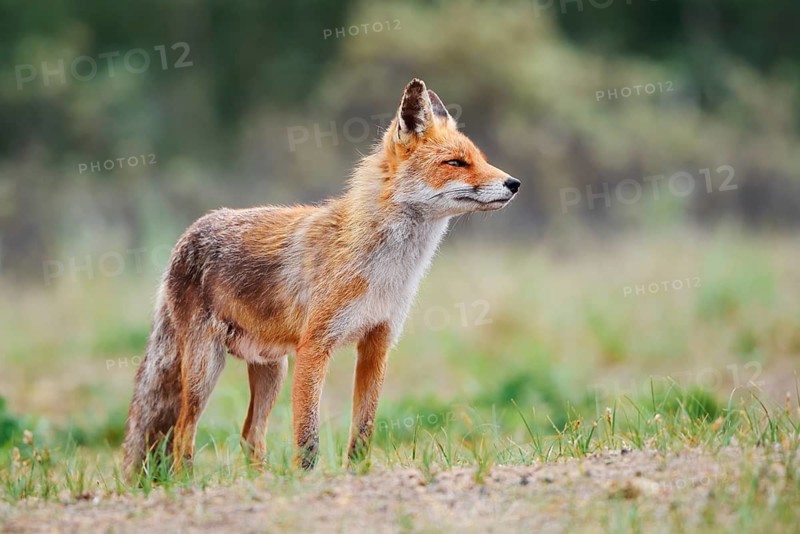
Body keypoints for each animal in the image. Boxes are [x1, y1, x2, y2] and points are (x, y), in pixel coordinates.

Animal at [122, 78, 520, 474]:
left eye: (481, 159)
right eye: (455, 163)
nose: (514, 183)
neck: (384, 272)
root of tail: (189, 233)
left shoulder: (377, 343)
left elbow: (363, 429)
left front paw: (356, 474)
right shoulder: (314, 347)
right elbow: (307, 434)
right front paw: (307, 479)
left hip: (271, 370)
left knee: (249, 434)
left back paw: (263, 482)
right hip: (206, 368)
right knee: (181, 434)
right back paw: (186, 482)